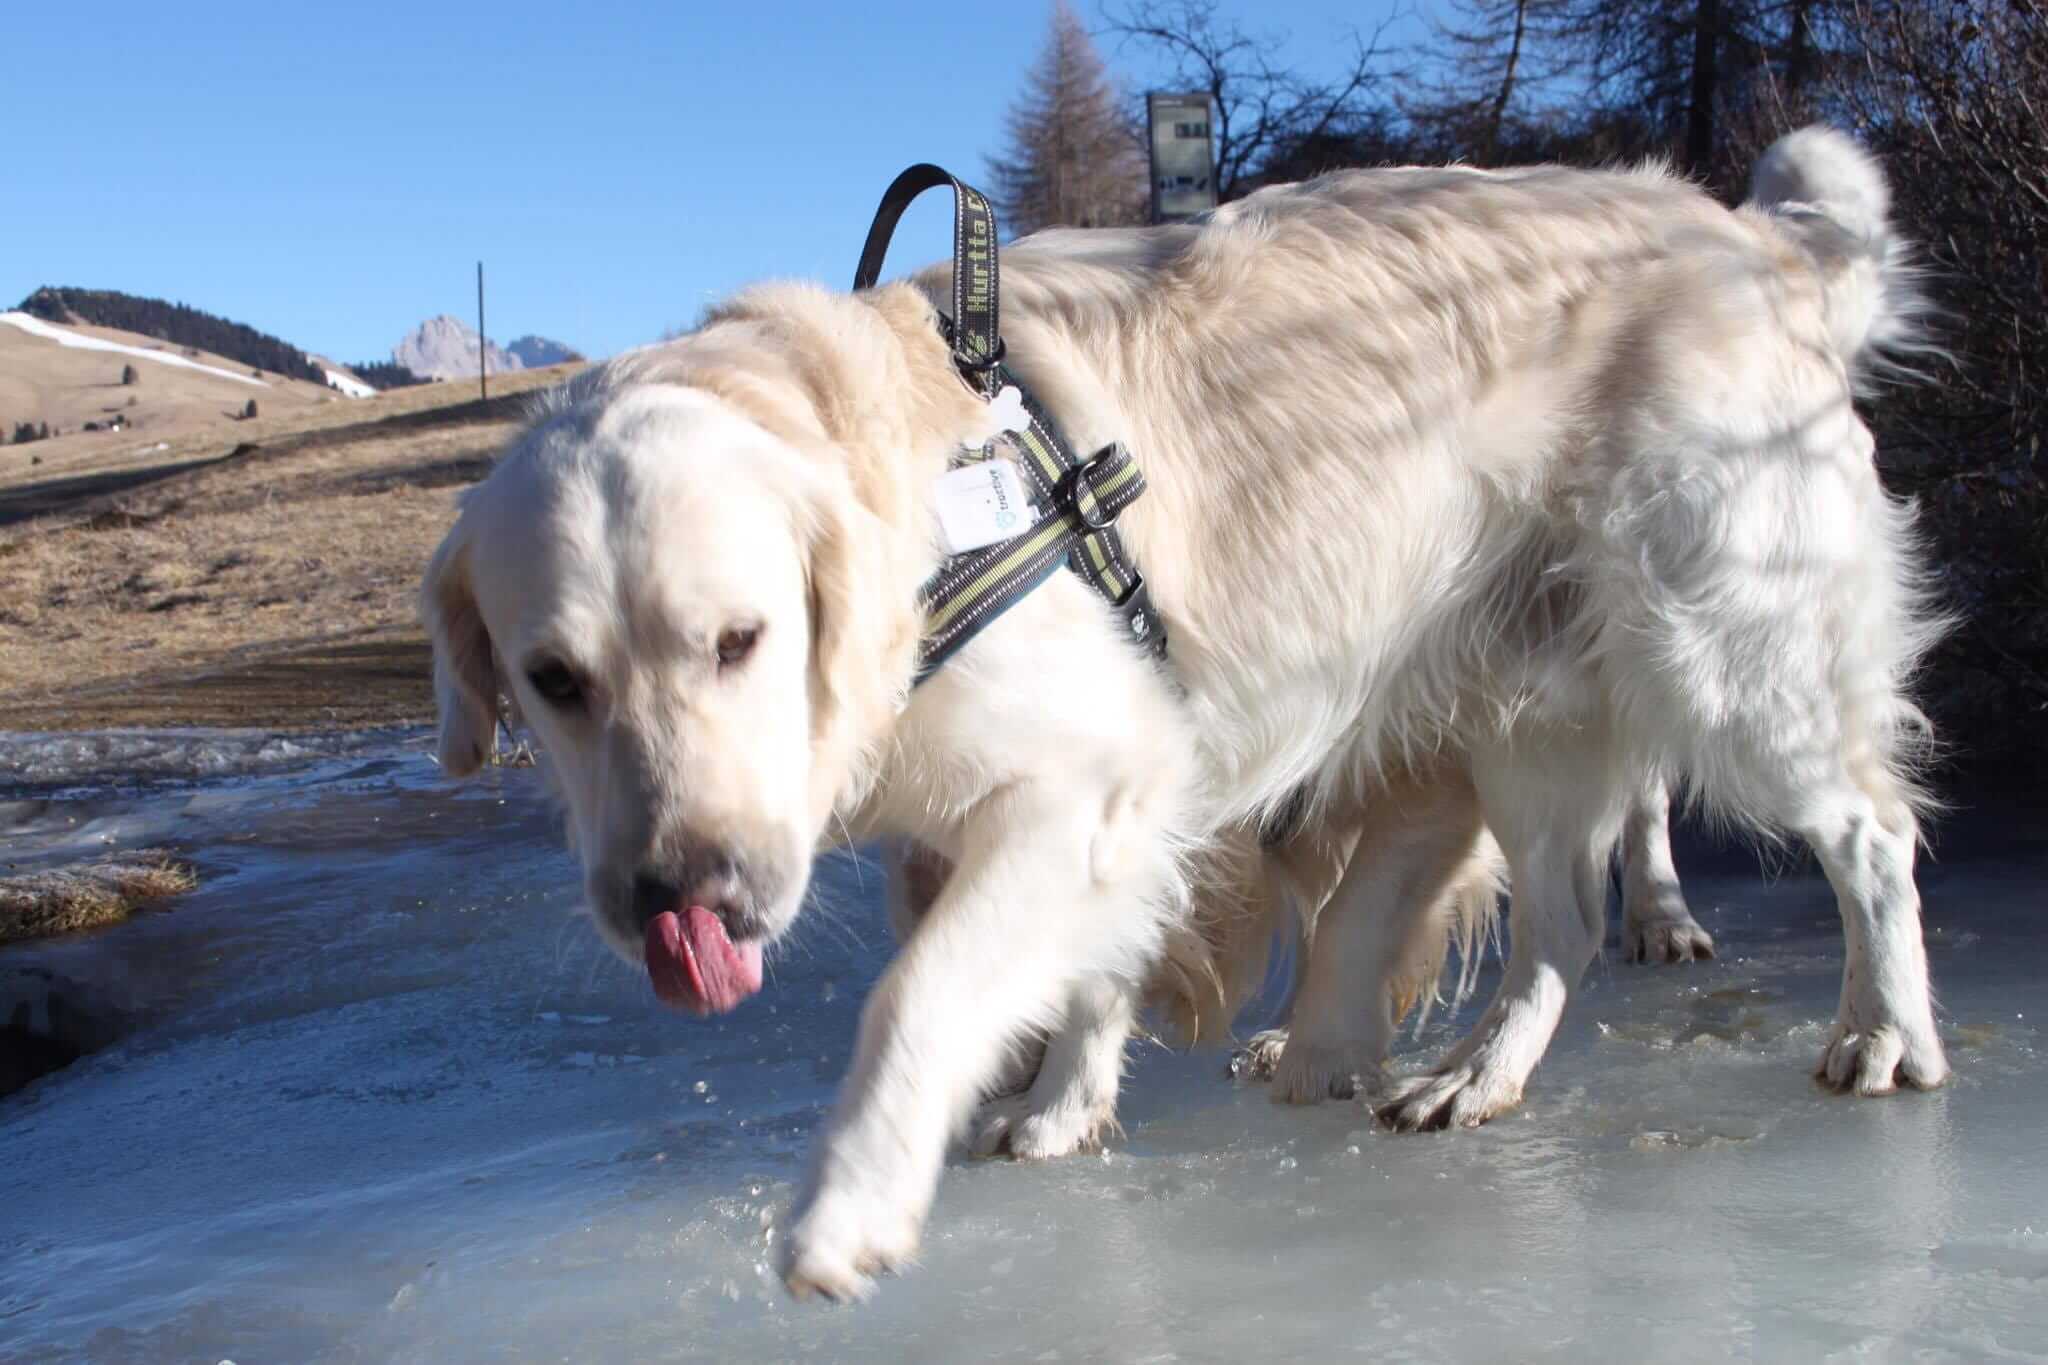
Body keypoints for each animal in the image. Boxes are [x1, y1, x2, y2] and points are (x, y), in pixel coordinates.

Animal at [423, 127, 1941, 1301]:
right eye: (555, 681)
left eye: (740, 641)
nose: (680, 894)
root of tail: (1751, 238)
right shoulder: (1106, 799)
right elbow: (1090, 966)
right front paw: (1061, 1104)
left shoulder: (1088, 776)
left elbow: (922, 989)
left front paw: (849, 1202)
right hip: (1527, 704)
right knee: (1558, 922)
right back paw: (1470, 1074)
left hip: (1726, 647)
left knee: (1868, 837)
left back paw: (1883, 1035)